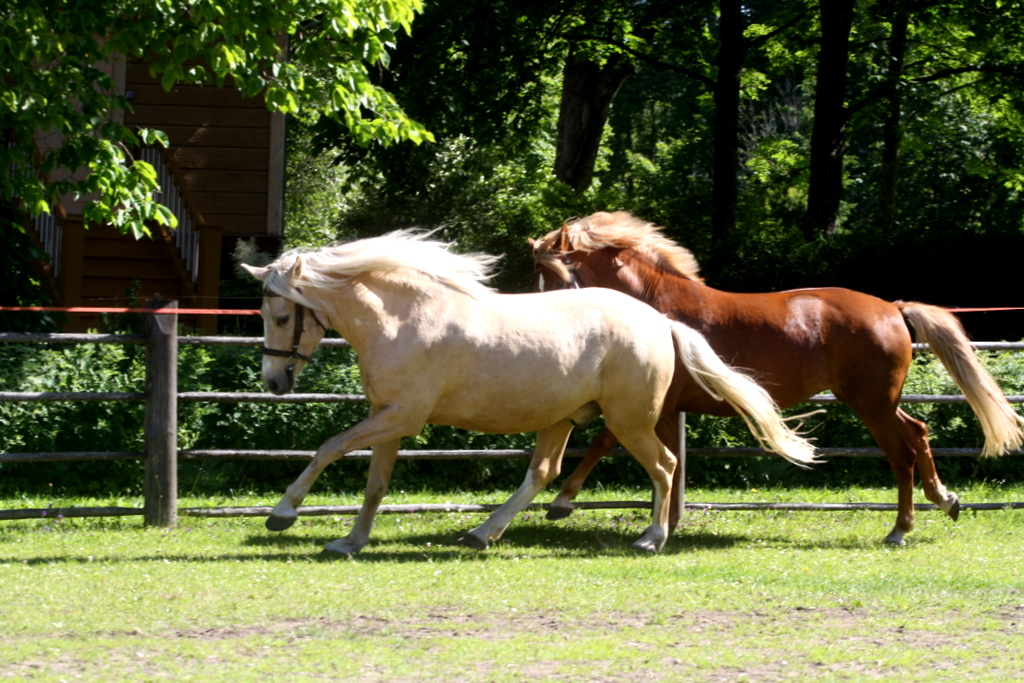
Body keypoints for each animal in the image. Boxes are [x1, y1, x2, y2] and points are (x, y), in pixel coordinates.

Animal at [241, 229, 815, 557]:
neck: (402, 320)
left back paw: (651, 539)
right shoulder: (389, 418)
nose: (273, 383)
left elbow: (329, 448)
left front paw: (283, 513)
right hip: (562, 417)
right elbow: (375, 485)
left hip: (628, 421)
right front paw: (350, 542)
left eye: (282, 315)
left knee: (665, 465)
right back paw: (481, 533)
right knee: (543, 472)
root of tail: (659, 321)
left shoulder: (401, 417)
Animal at [528, 210, 1024, 548]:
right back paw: (945, 499)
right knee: (918, 432)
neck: (656, 305)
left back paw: (900, 529)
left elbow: (606, 442)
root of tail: (892, 308)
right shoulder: (667, 409)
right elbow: (664, 462)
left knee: (901, 456)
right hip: (878, 400)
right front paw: (663, 525)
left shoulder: (650, 405)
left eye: (555, 276)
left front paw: (563, 502)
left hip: (870, 403)